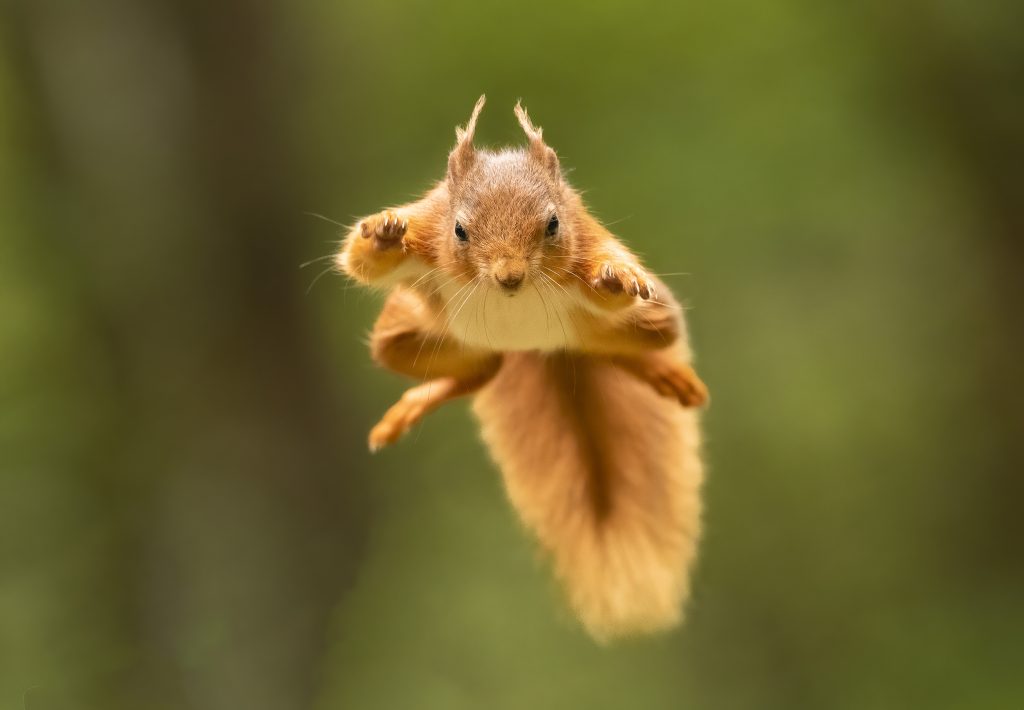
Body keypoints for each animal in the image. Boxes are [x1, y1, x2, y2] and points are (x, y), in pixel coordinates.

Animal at [339, 96, 708, 639]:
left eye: (553, 224)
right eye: (460, 229)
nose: (509, 277)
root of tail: (536, 346)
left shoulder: (585, 244)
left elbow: (608, 280)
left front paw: (615, 277)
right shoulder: (426, 230)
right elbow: (360, 261)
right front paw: (384, 232)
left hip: (653, 319)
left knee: (615, 346)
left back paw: (661, 373)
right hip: (405, 336)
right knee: (481, 368)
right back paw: (412, 407)